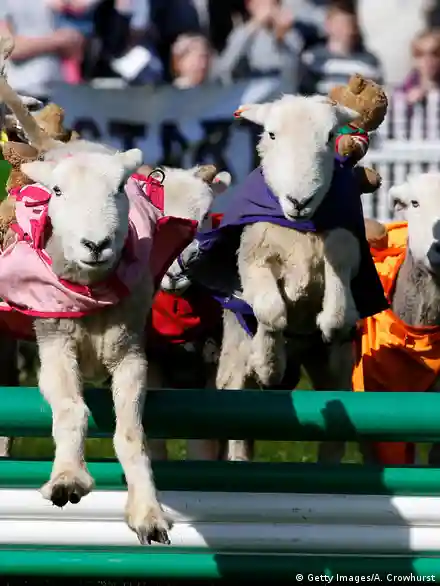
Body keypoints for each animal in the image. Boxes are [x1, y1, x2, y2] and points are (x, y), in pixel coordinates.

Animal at [182, 93, 388, 462]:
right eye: (272, 134)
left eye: (330, 136)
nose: (299, 201)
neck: (300, 227)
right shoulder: (253, 260)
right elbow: (271, 312)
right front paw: (269, 364)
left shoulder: (343, 250)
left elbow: (338, 313)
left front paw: (330, 325)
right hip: (233, 367)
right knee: (237, 429)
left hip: (334, 375)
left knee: (334, 431)